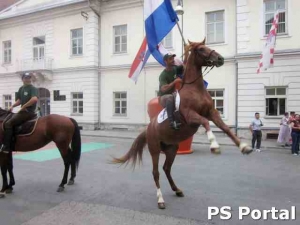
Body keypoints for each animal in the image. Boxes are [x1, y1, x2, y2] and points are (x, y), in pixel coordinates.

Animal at [112, 38, 253, 209]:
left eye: (207, 46)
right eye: (201, 49)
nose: (220, 59)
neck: (195, 89)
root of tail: (149, 128)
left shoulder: (212, 113)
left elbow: (226, 128)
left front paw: (244, 147)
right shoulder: (191, 116)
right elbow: (205, 123)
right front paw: (214, 145)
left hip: (172, 149)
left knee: (166, 168)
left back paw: (177, 189)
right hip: (154, 150)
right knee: (156, 173)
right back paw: (160, 200)